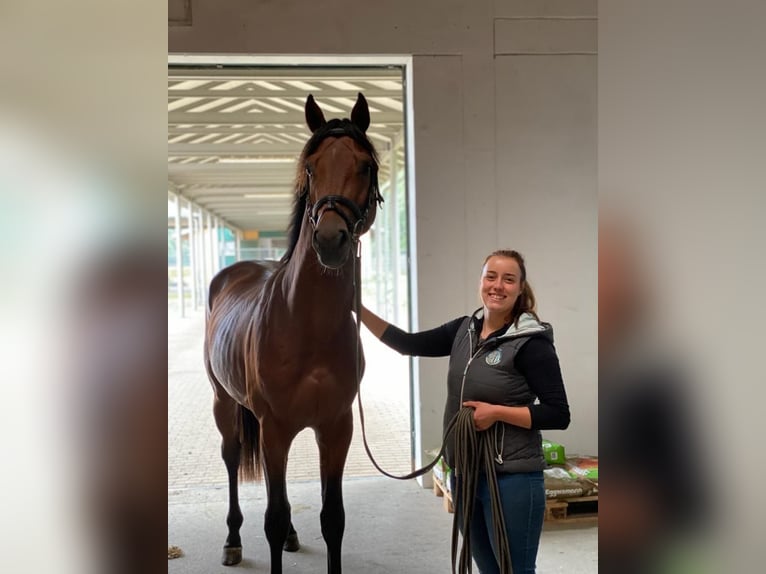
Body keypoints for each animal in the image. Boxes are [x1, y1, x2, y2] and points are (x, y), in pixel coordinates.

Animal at [203, 93, 382, 574]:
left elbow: (332, 517)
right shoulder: (275, 427)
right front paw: (262, 536)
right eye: (311, 168)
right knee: (233, 460)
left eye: (365, 166)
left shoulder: (335, 427)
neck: (307, 324)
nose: (330, 240)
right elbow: (272, 515)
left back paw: (290, 537)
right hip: (226, 405)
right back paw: (231, 541)